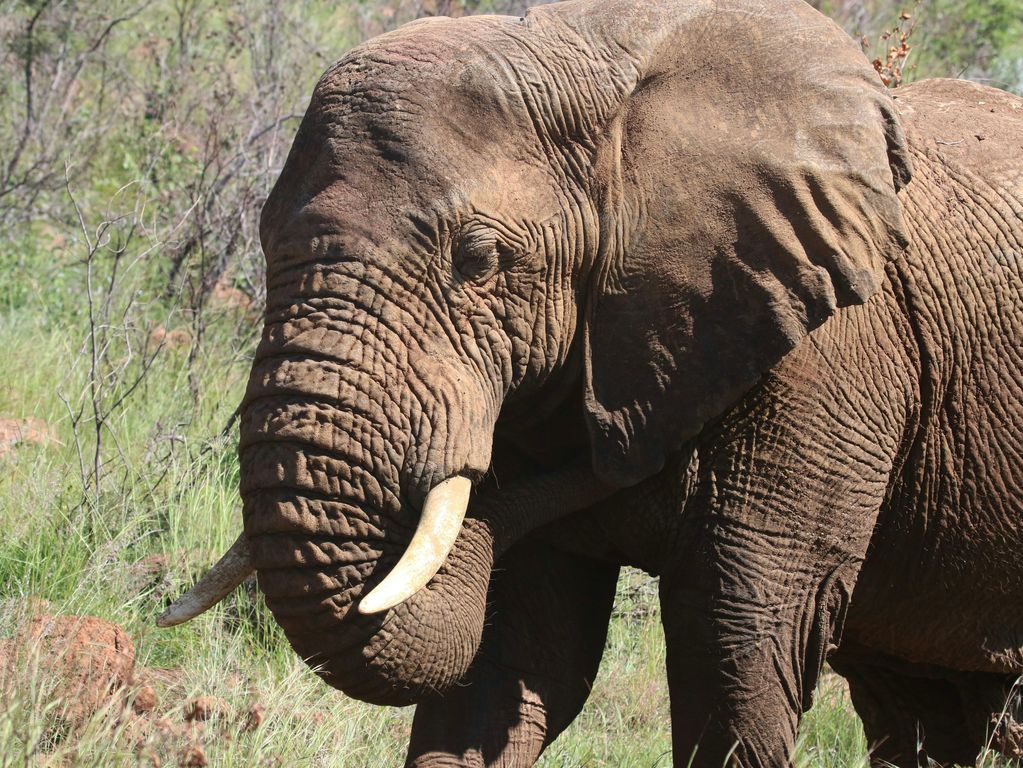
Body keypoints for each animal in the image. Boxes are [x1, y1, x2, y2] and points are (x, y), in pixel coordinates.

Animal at [157, 0, 1023, 764]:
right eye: (263, 242)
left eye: (478, 260)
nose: (619, 457)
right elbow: (516, 655)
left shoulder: (825, 362)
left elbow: (738, 645)